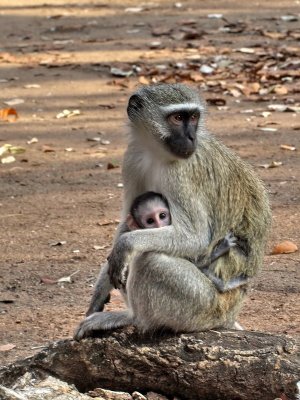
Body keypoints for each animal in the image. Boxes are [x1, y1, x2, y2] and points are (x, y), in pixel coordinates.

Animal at [74, 83, 270, 340]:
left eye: (194, 117)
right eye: (177, 118)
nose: (191, 137)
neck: (156, 152)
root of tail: (230, 315)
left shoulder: (182, 174)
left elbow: (195, 238)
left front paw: (125, 245)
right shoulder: (133, 158)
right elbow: (127, 222)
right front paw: (99, 291)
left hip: (206, 305)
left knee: (151, 260)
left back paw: (132, 318)